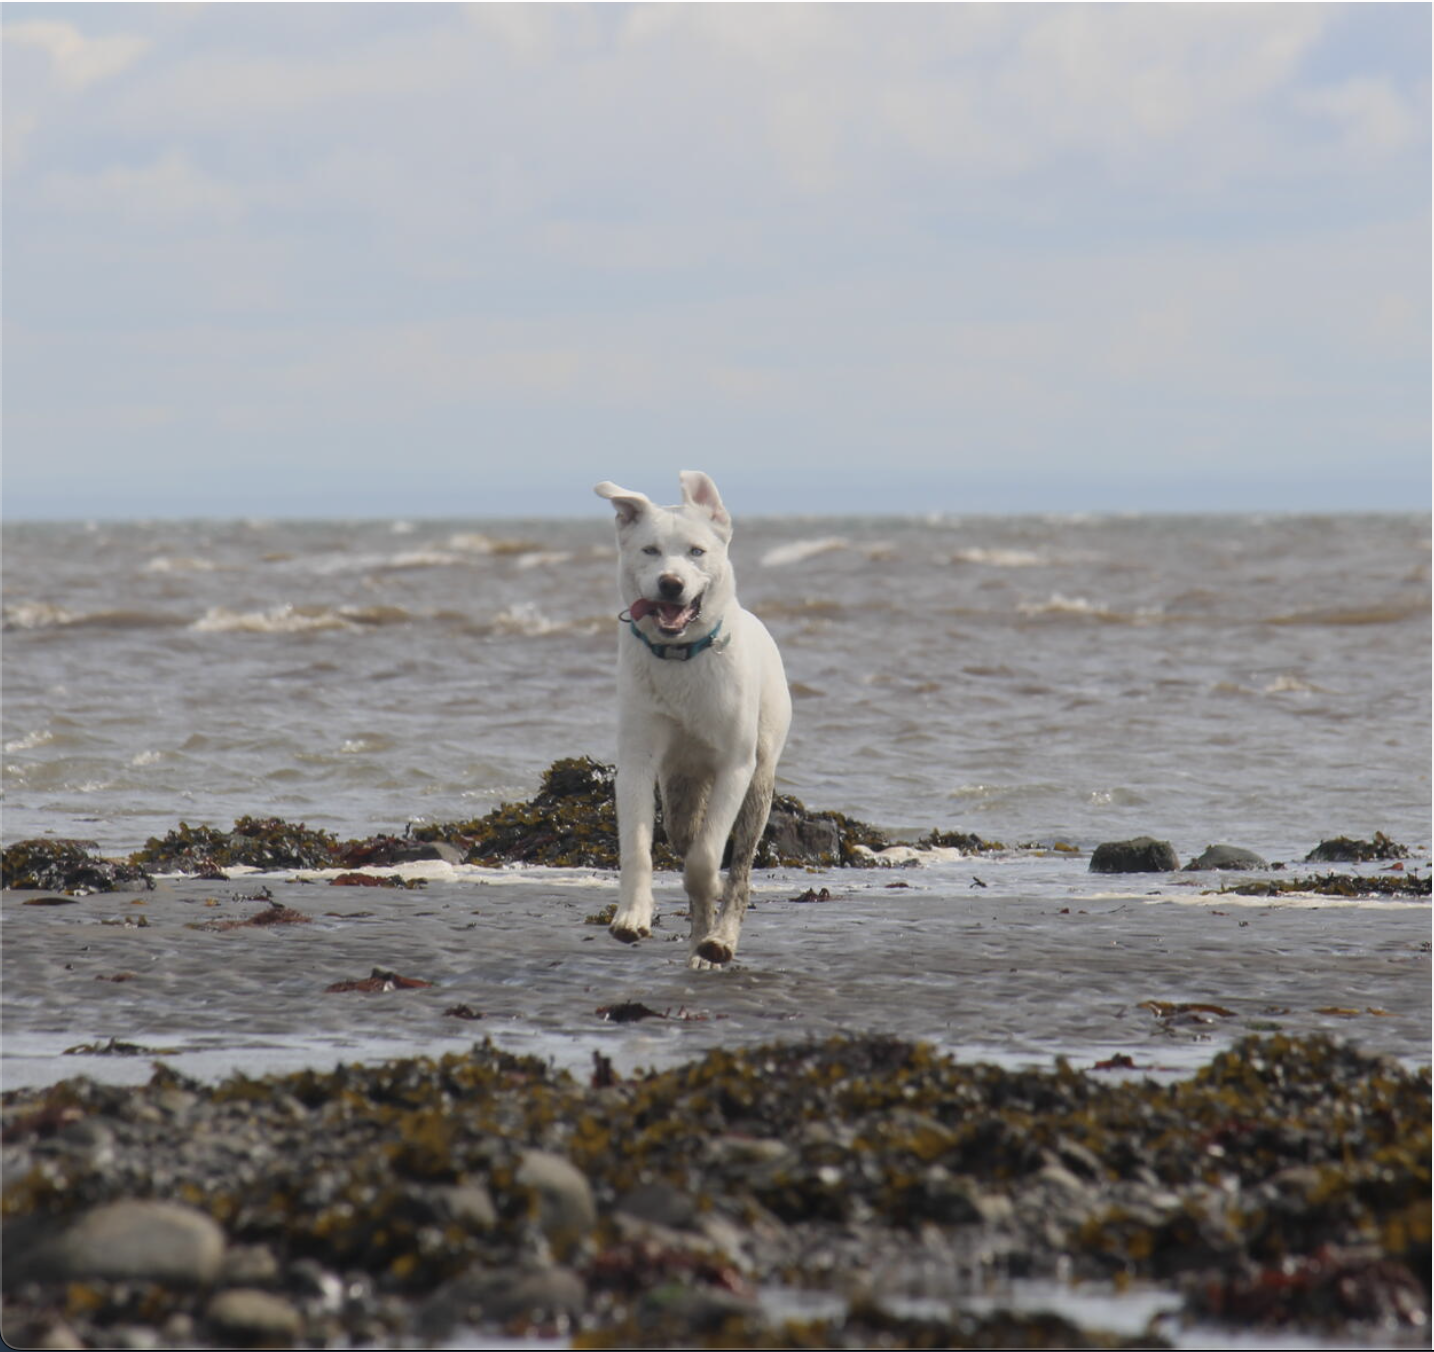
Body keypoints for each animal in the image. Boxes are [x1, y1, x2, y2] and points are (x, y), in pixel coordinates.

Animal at [596, 470, 797, 969]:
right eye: (649, 550)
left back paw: (717, 939)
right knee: (685, 833)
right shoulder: (637, 759)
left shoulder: (735, 766)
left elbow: (706, 861)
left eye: (696, 552)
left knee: (739, 866)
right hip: (680, 792)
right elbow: (638, 848)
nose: (670, 584)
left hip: (759, 782)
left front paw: (712, 918)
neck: (681, 653)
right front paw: (632, 916)